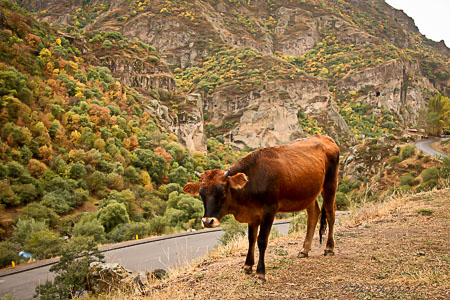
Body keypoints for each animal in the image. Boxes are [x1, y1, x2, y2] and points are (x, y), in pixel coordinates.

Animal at [183, 135, 338, 282]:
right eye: (201, 194)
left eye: (222, 192)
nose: (207, 221)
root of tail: (325, 138)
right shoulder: (253, 215)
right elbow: (251, 239)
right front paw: (247, 266)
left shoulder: (269, 210)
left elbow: (262, 240)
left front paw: (260, 273)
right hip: (309, 192)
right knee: (313, 215)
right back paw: (304, 250)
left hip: (330, 184)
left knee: (331, 214)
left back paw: (329, 248)